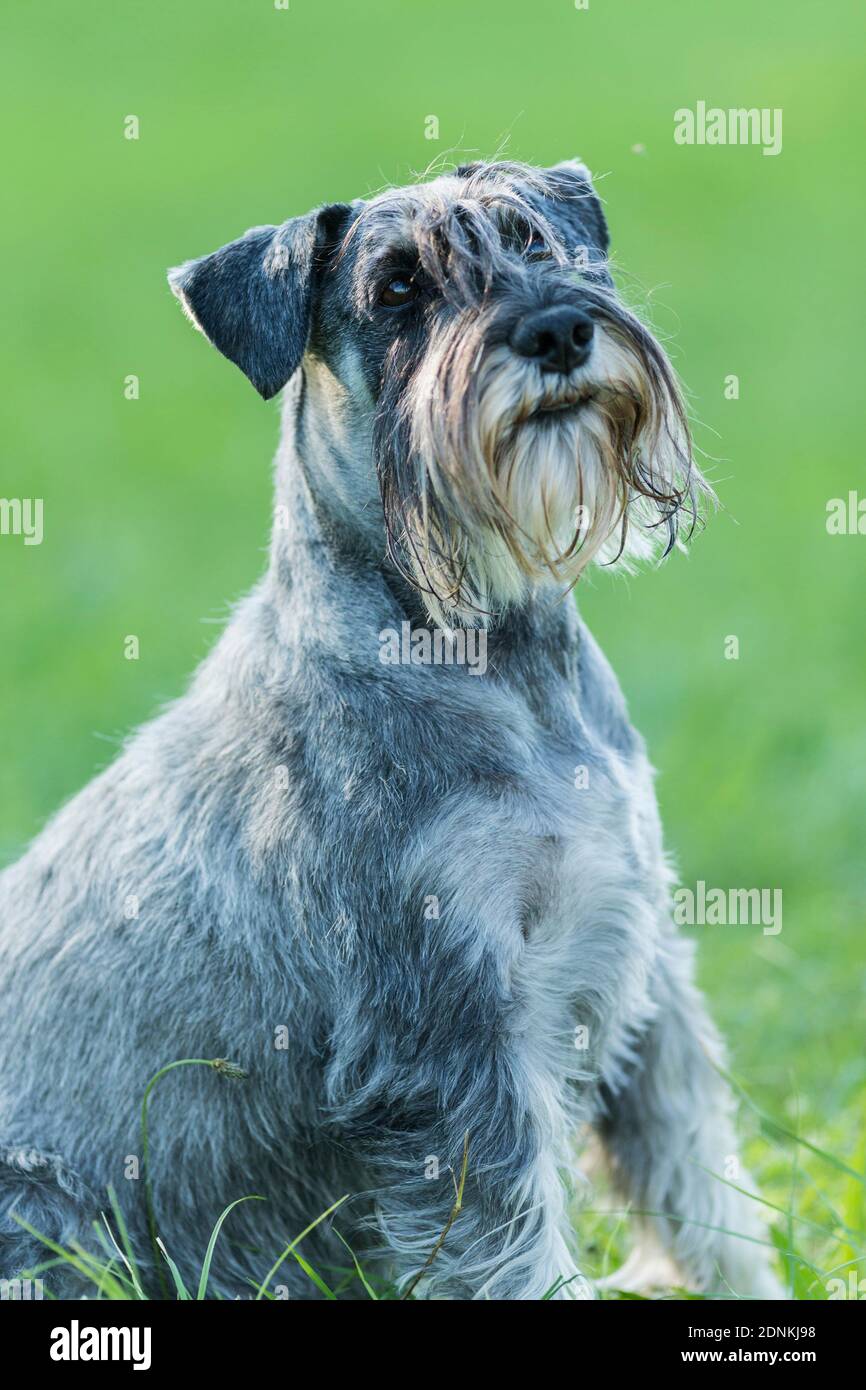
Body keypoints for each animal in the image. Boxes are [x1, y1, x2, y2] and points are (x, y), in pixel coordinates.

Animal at [0, 162, 783, 1301]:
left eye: (534, 239)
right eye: (397, 289)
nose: (554, 330)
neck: (499, 662)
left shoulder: (645, 984)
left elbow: (702, 1193)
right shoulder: (443, 1041)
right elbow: (512, 1246)